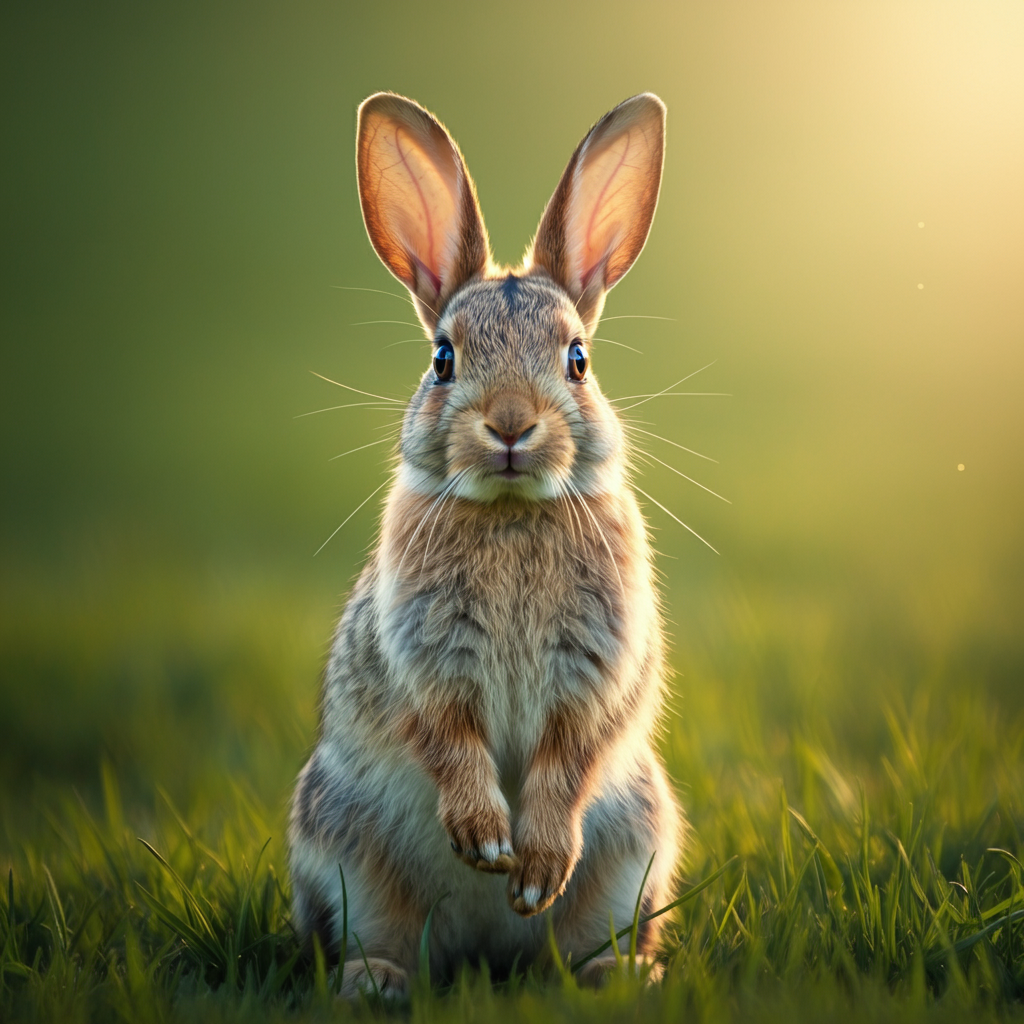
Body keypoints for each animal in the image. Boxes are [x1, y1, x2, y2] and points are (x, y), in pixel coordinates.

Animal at [288, 92, 684, 995]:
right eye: (443, 359)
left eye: (578, 360)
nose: (509, 424)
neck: (510, 508)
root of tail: (486, 953)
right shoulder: (426, 658)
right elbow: (448, 736)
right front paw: (486, 841)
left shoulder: (594, 668)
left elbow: (569, 756)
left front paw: (531, 868)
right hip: (342, 845)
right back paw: (377, 982)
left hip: (638, 842)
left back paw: (616, 975)